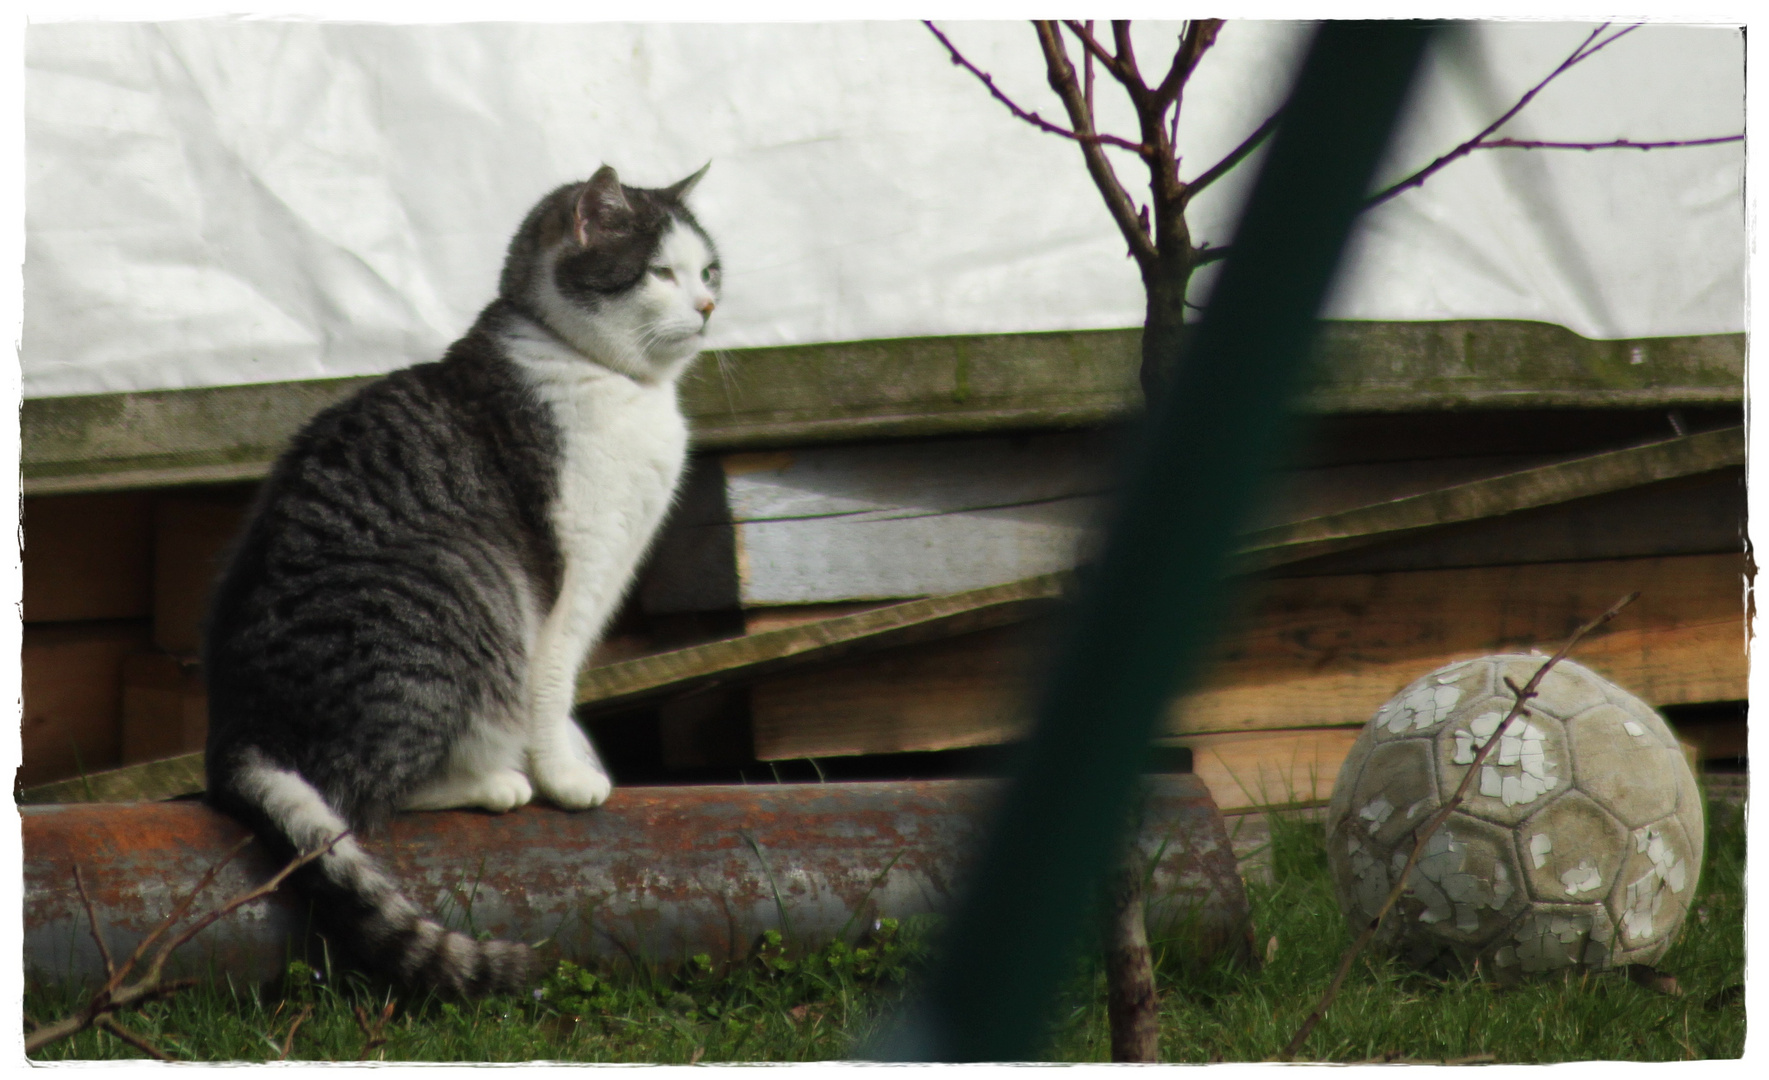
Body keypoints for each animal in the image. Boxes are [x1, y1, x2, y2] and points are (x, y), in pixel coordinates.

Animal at [197, 164, 714, 1003]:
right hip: (451, 598)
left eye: (708, 271)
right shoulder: (574, 574)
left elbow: (565, 689)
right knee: (354, 795)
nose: (706, 306)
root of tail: (235, 728)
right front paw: (563, 775)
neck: (615, 382)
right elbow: (551, 683)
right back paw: (491, 780)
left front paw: (576, 754)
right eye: (660, 273)